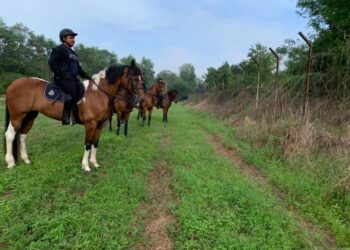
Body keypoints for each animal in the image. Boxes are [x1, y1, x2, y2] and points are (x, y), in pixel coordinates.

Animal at [3, 59, 143, 171]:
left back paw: (26, 160)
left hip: (30, 116)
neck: (98, 93)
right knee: (10, 135)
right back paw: (10, 163)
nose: (140, 100)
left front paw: (94, 163)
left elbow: (95, 143)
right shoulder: (90, 124)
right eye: (135, 78)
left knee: (22, 135)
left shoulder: (99, 125)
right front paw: (85, 166)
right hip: (17, 116)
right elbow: (87, 144)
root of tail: (13, 84)